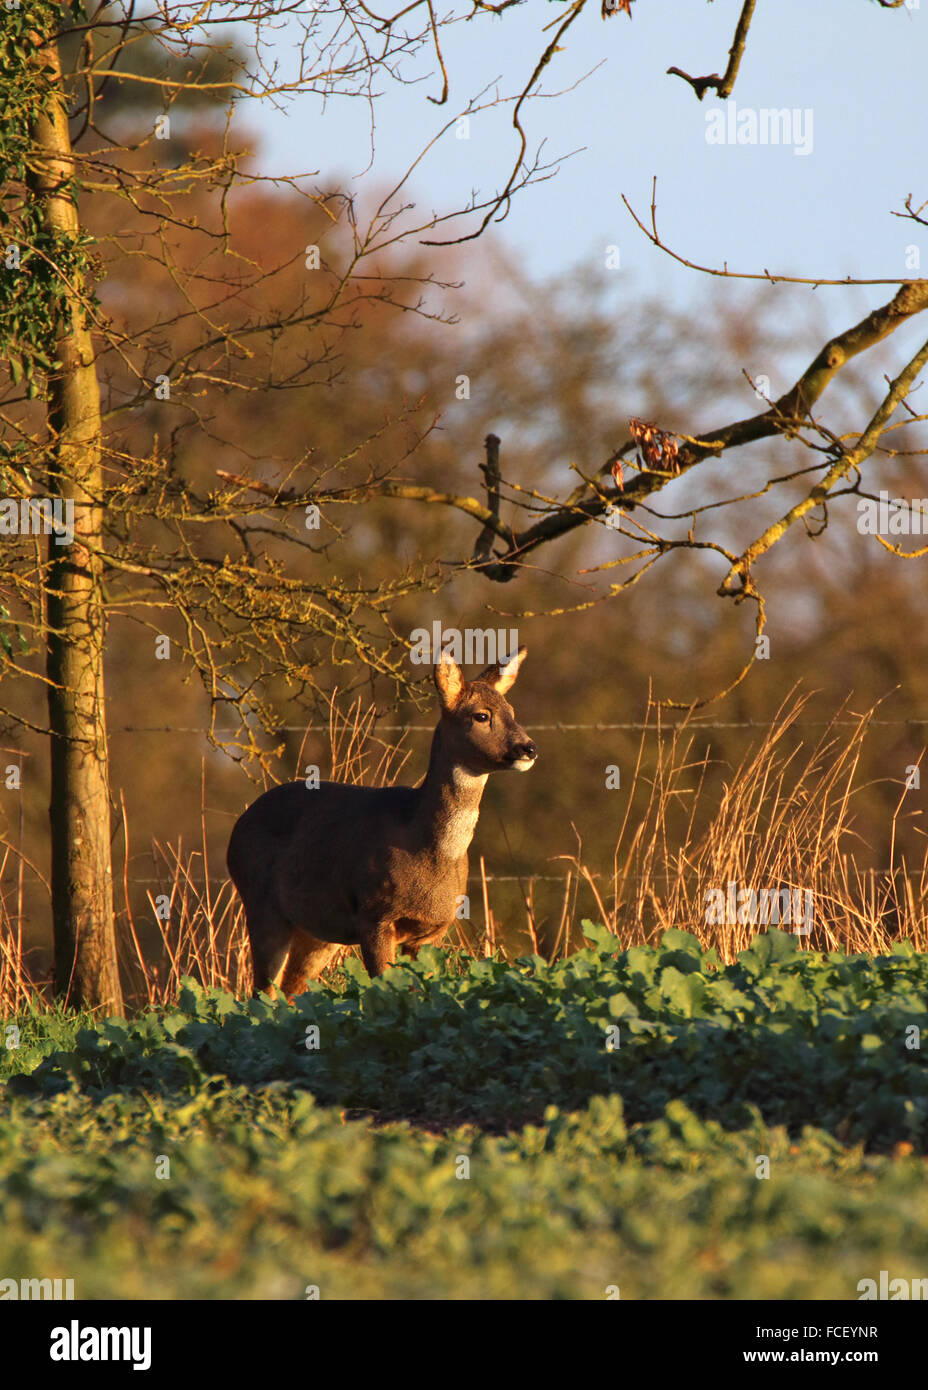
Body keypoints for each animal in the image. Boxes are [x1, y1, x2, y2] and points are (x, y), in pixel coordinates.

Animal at [226, 644, 536, 995]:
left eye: (511, 711)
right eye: (481, 715)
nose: (528, 748)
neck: (423, 842)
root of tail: (239, 825)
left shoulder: (433, 930)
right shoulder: (375, 916)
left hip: (316, 930)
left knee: (291, 992)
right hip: (261, 904)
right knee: (261, 994)